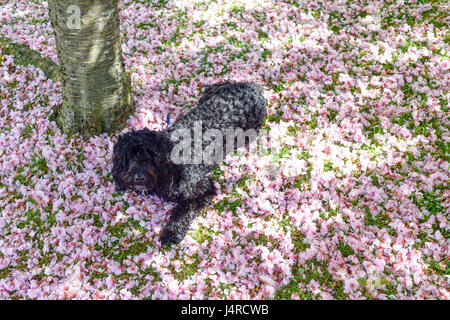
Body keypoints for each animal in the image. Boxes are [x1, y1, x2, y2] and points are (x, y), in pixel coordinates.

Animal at [112, 80, 268, 245]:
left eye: (151, 156)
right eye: (129, 157)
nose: (139, 178)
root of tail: (253, 87)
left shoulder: (202, 188)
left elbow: (184, 210)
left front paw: (172, 232)